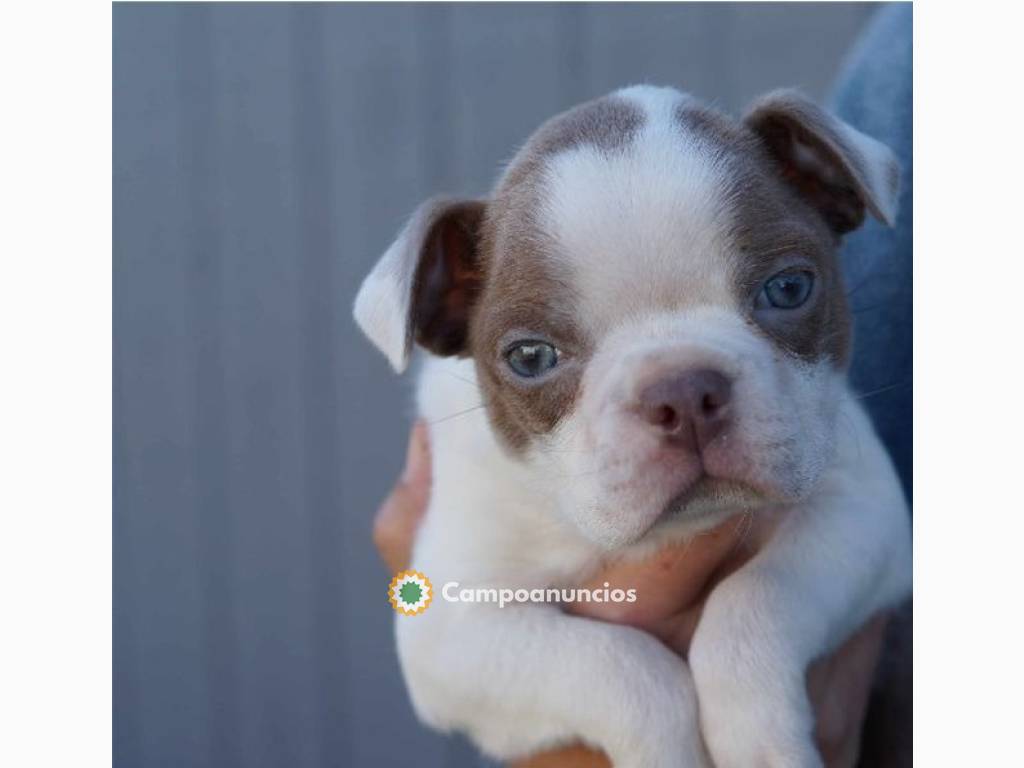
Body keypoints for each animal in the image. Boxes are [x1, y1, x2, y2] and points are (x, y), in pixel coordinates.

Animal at [354, 87, 913, 765]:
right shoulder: (454, 633)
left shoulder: (863, 513)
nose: (683, 390)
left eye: (788, 288)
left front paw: (762, 743)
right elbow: (618, 666)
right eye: (530, 357)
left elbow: (754, 601)